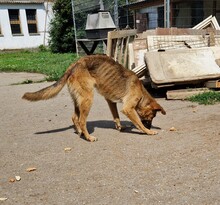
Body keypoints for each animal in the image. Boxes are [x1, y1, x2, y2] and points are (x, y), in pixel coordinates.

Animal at [23, 54, 166, 142]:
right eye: (152, 117)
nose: (150, 126)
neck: (141, 93)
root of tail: (74, 64)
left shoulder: (111, 102)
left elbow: (116, 117)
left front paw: (120, 127)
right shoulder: (128, 108)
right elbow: (138, 123)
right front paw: (147, 131)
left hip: (78, 100)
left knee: (74, 117)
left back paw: (80, 132)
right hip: (87, 99)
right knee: (81, 120)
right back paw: (88, 137)